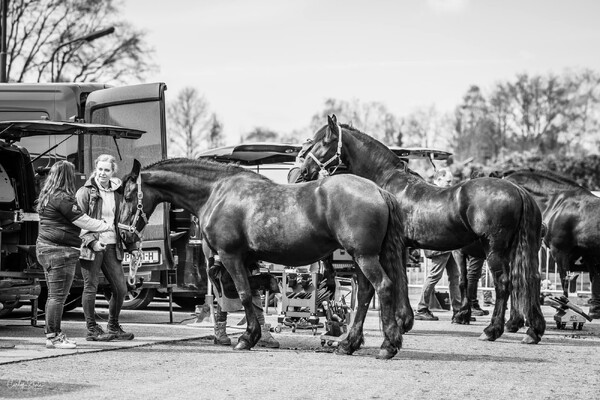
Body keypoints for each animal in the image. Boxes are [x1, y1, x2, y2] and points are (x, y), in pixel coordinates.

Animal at [120, 158, 412, 358]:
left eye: (128, 195)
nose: (124, 235)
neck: (216, 192)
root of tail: (378, 191)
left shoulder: (230, 256)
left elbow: (244, 294)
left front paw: (247, 338)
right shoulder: (246, 260)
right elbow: (253, 296)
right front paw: (256, 332)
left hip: (364, 257)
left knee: (383, 287)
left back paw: (387, 346)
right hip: (363, 258)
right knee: (364, 295)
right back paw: (348, 344)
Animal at [302, 115, 548, 344]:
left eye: (325, 141)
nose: (305, 171)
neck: (388, 182)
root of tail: (517, 190)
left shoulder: (396, 247)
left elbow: (398, 279)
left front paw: (402, 322)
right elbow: (400, 278)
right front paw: (405, 321)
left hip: (495, 249)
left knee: (504, 284)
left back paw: (492, 330)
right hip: (517, 250)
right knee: (529, 278)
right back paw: (532, 330)